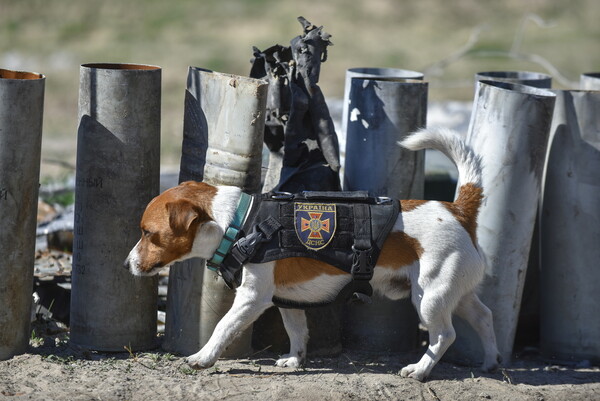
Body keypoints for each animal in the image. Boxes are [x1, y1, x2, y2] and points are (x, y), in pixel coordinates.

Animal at [123, 127, 502, 378]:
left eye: (148, 233)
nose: (126, 265)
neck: (239, 222)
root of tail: (458, 209)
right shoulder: (287, 300)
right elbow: (297, 332)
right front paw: (295, 359)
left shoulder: (252, 299)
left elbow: (223, 327)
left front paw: (202, 357)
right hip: (456, 293)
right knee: (484, 317)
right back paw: (490, 361)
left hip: (429, 298)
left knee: (445, 335)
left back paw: (420, 370)